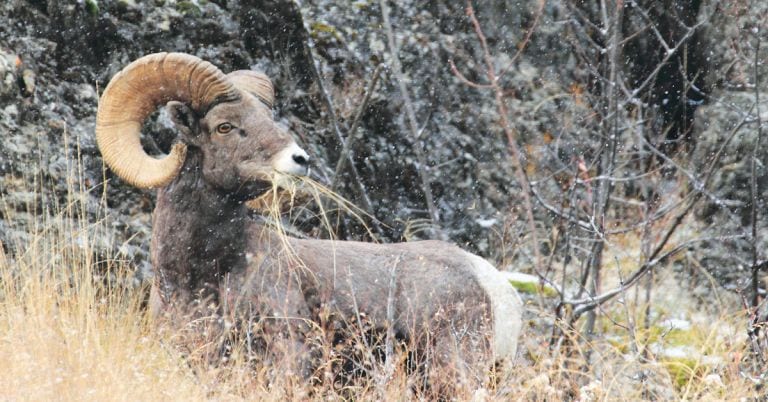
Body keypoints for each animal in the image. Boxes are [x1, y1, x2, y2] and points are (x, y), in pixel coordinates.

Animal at [95, 52, 523, 390]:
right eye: (224, 126)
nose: (299, 159)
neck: (199, 275)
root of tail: (493, 284)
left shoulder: (289, 358)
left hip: (454, 369)